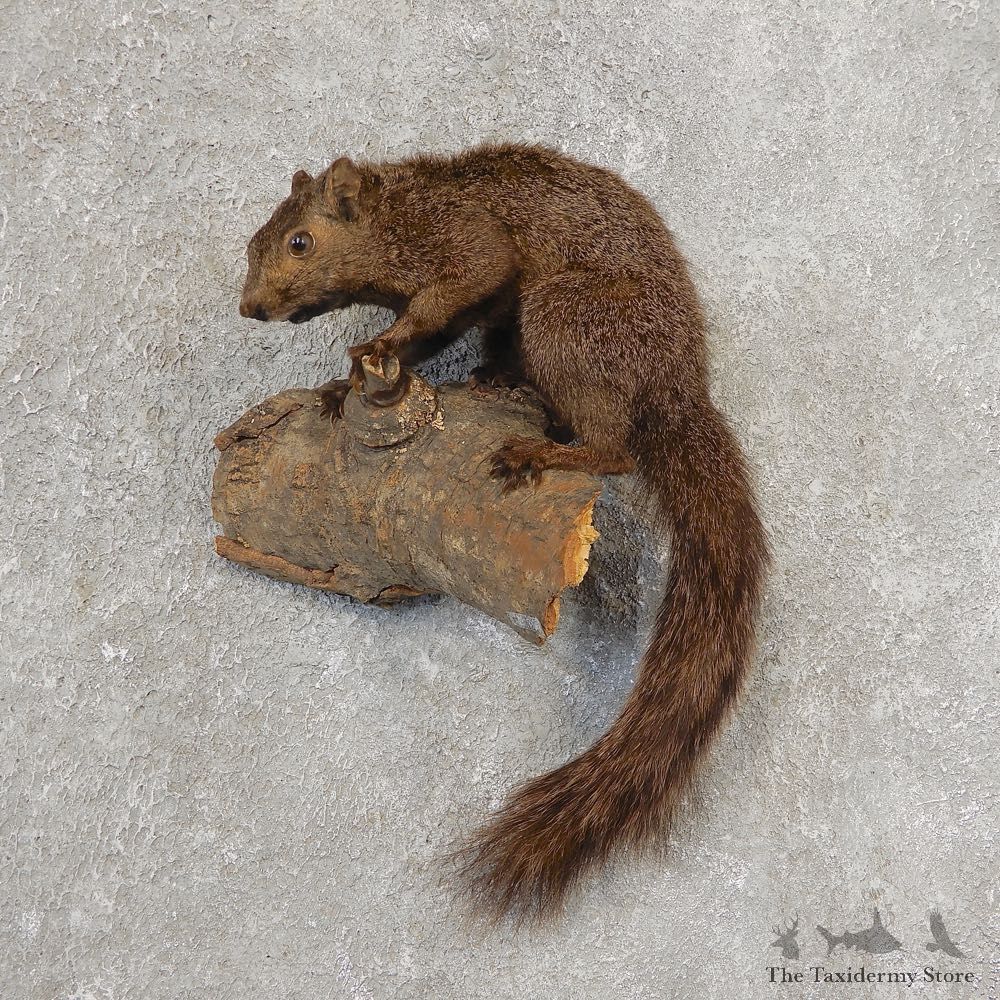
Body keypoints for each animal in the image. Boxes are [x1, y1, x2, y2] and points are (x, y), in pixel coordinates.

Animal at [239, 143, 770, 923]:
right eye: (256, 243)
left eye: (301, 242)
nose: (250, 306)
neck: (403, 212)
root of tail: (680, 384)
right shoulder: (466, 303)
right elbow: (432, 335)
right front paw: (343, 386)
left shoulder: (469, 246)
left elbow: (450, 295)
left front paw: (373, 346)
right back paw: (498, 384)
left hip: (564, 317)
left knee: (616, 447)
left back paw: (541, 451)